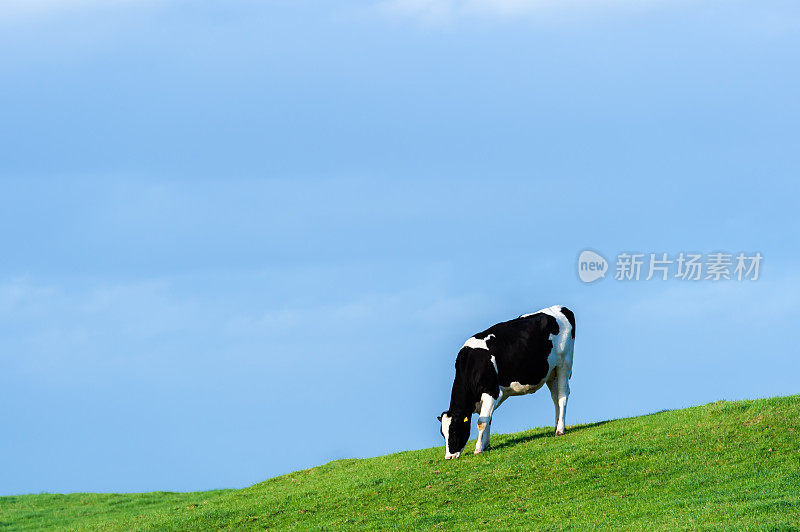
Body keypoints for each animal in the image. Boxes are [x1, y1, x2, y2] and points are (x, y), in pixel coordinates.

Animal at [438, 306, 576, 460]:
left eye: (455, 431)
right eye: (443, 434)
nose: (449, 457)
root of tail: (561, 308)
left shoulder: (491, 390)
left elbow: (481, 422)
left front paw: (478, 449)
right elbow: (488, 418)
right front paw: (486, 445)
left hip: (564, 363)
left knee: (563, 395)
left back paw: (560, 430)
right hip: (551, 372)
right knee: (555, 397)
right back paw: (557, 425)